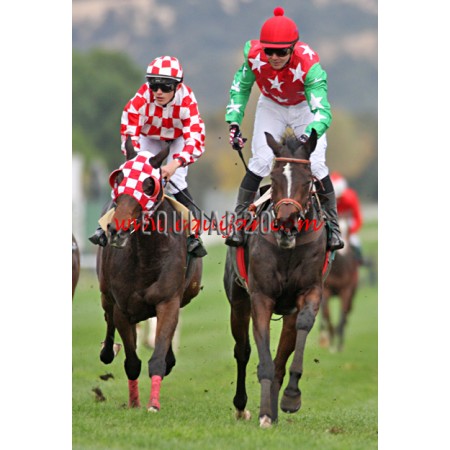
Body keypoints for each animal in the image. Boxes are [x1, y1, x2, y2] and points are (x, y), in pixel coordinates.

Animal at [96, 138, 202, 411]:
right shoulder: (123, 308)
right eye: (119, 178)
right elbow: (132, 361)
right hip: (105, 292)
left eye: (148, 185)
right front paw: (134, 402)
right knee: (107, 317)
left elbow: (158, 355)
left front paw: (153, 403)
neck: (146, 255)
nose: (117, 230)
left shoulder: (168, 300)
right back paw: (107, 350)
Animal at [224, 128, 329, 428]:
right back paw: (242, 407)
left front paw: (290, 398)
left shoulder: (309, 292)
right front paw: (262, 413)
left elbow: (296, 338)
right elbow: (263, 357)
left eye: (308, 181)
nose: (286, 222)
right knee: (242, 350)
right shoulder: (261, 297)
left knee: (282, 354)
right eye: (276, 178)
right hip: (238, 300)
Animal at [319, 217, 360, 352]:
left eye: (349, 230)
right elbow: (326, 313)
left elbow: (343, 313)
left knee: (348, 310)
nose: (345, 251)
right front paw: (331, 338)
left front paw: (339, 342)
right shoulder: (326, 290)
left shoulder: (346, 289)